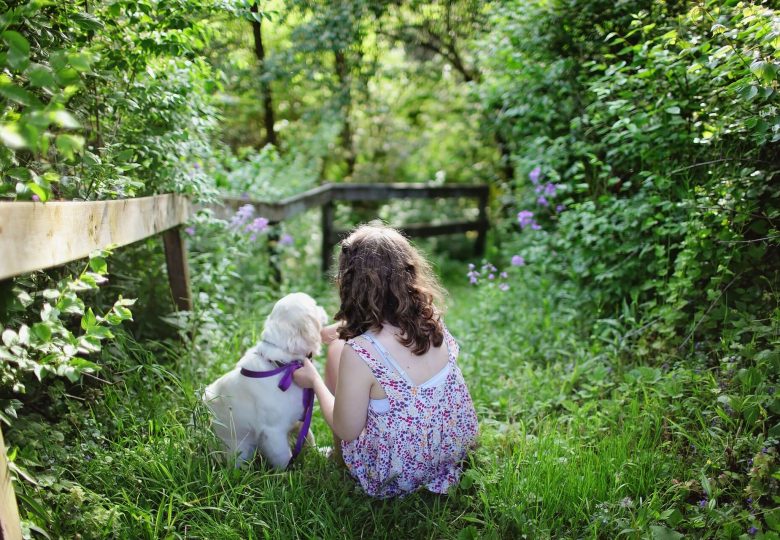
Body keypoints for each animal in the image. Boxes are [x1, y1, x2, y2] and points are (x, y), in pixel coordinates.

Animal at [204, 294, 326, 466]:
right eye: (314, 306)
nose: (323, 308)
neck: (282, 365)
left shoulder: (300, 418)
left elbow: (309, 436)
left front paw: (320, 453)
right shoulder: (273, 432)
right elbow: (284, 458)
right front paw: (291, 471)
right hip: (239, 449)